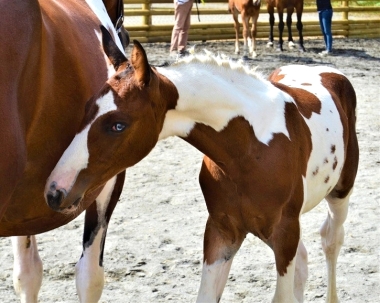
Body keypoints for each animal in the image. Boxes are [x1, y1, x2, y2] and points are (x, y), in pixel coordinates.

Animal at [45, 31, 360, 303]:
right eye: (86, 108)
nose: (55, 191)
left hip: (340, 193)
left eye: (118, 125)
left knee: (331, 239)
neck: (249, 149)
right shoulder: (222, 232)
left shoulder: (284, 231)